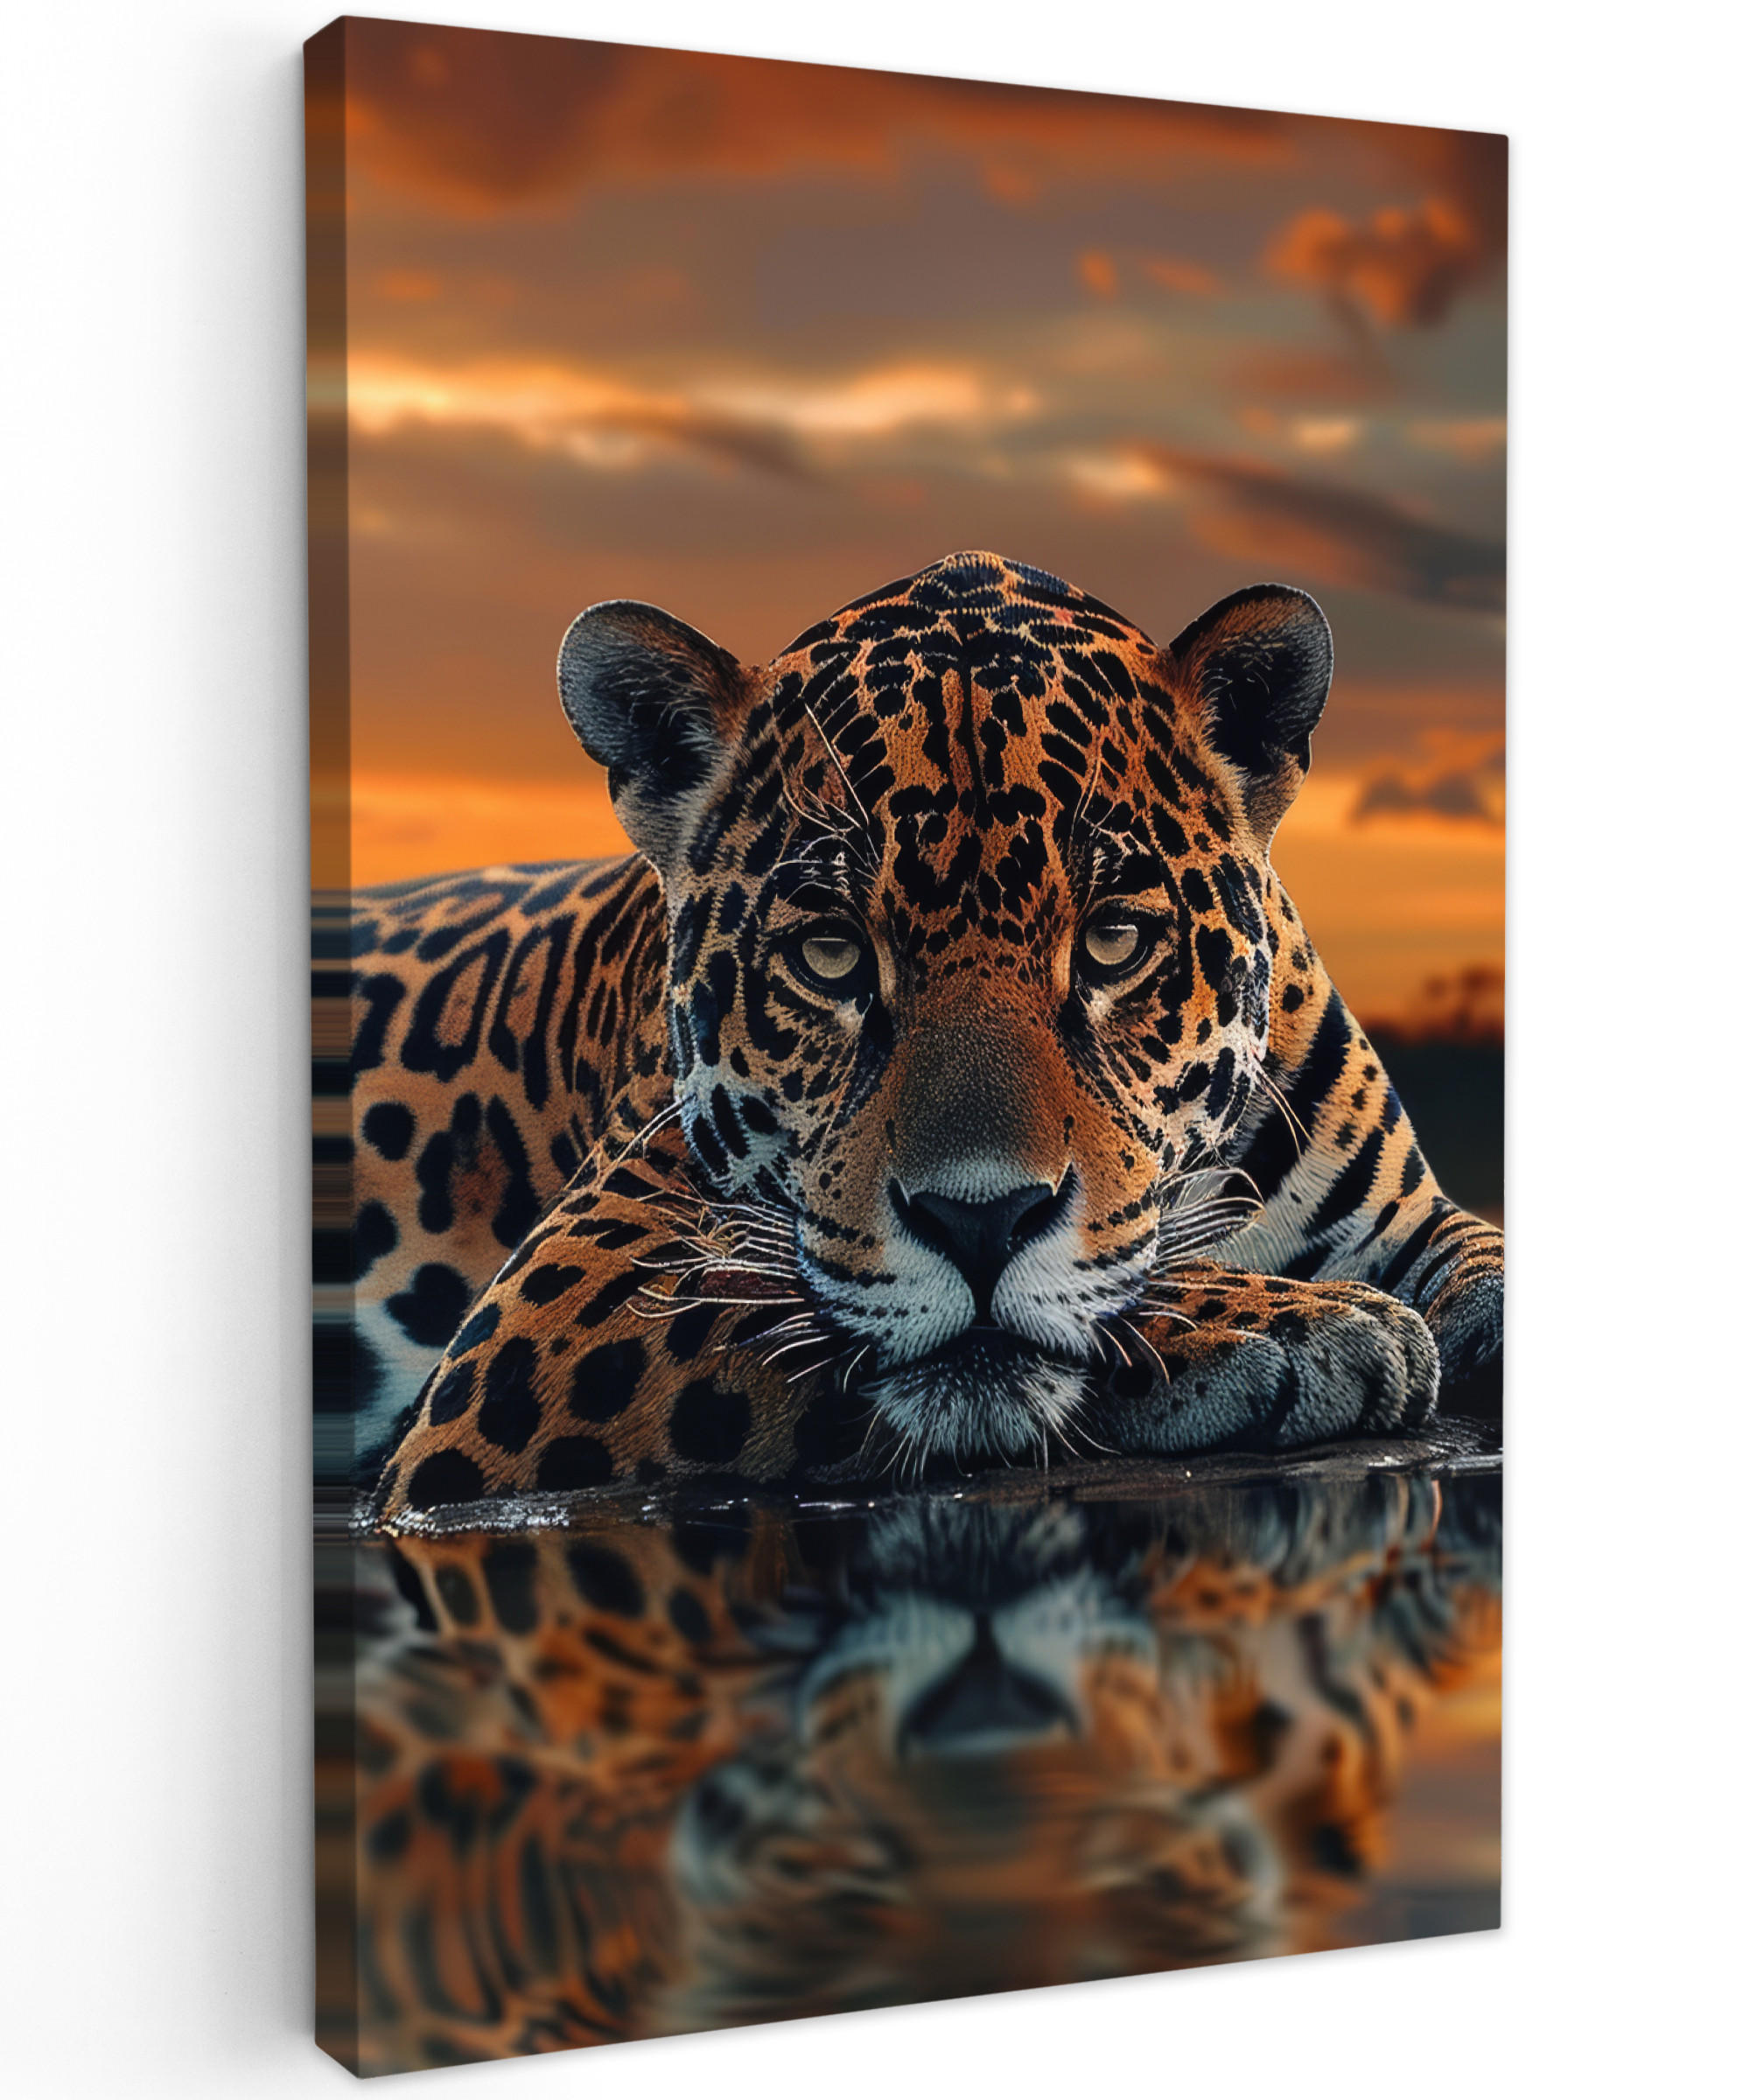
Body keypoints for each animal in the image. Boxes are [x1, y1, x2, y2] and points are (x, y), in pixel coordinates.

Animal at [309, 550, 1503, 1522]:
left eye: (1112, 942)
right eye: (831, 955)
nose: (980, 1222)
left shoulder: (1406, 1217)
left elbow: (1480, 1252)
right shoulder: (558, 1299)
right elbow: (772, 1306)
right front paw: (1300, 1326)